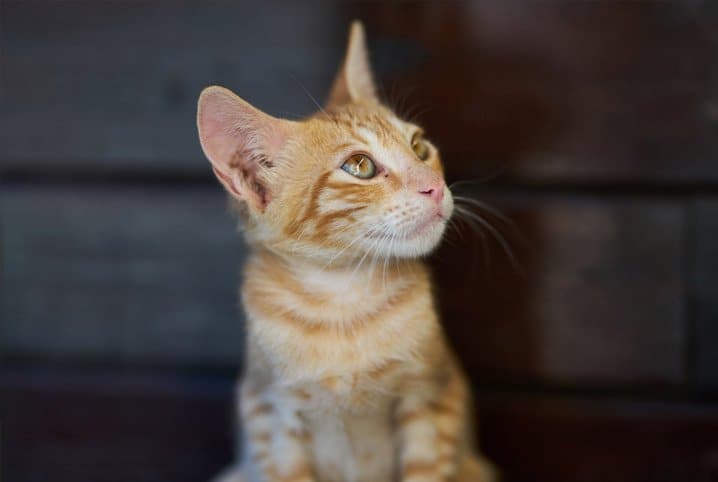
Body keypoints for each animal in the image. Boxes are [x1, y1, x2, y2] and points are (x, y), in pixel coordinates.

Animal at [198, 20, 500, 482]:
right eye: (360, 166)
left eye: (419, 146)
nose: (434, 187)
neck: (342, 299)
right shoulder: (269, 414)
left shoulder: (433, 397)